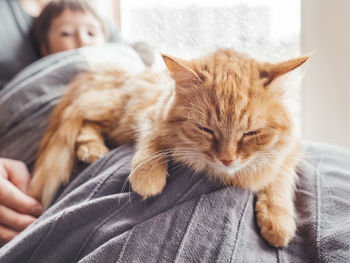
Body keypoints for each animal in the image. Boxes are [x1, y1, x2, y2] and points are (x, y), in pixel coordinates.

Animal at [28, 49, 310, 248]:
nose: (227, 159)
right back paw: (92, 149)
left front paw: (277, 221)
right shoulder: (150, 116)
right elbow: (150, 147)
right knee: (85, 121)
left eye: (250, 133)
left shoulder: (290, 152)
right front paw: (149, 179)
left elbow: (278, 184)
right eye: (206, 129)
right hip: (117, 117)